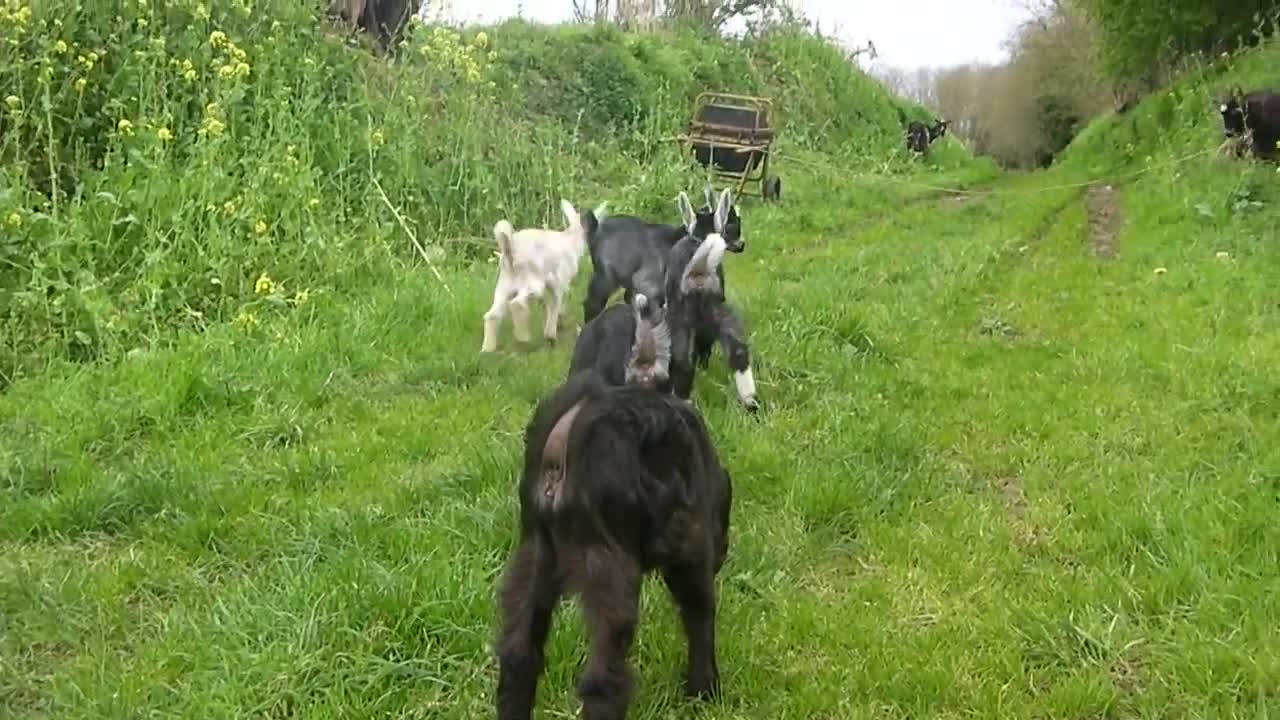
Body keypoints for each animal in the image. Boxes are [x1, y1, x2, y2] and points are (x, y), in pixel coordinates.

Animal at [491, 368, 732, 717]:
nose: (723, 552)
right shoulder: (691, 546)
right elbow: (699, 612)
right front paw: (704, 689)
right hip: (605, 560)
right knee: (603, 676)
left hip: (534, 549)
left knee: (518, 653)